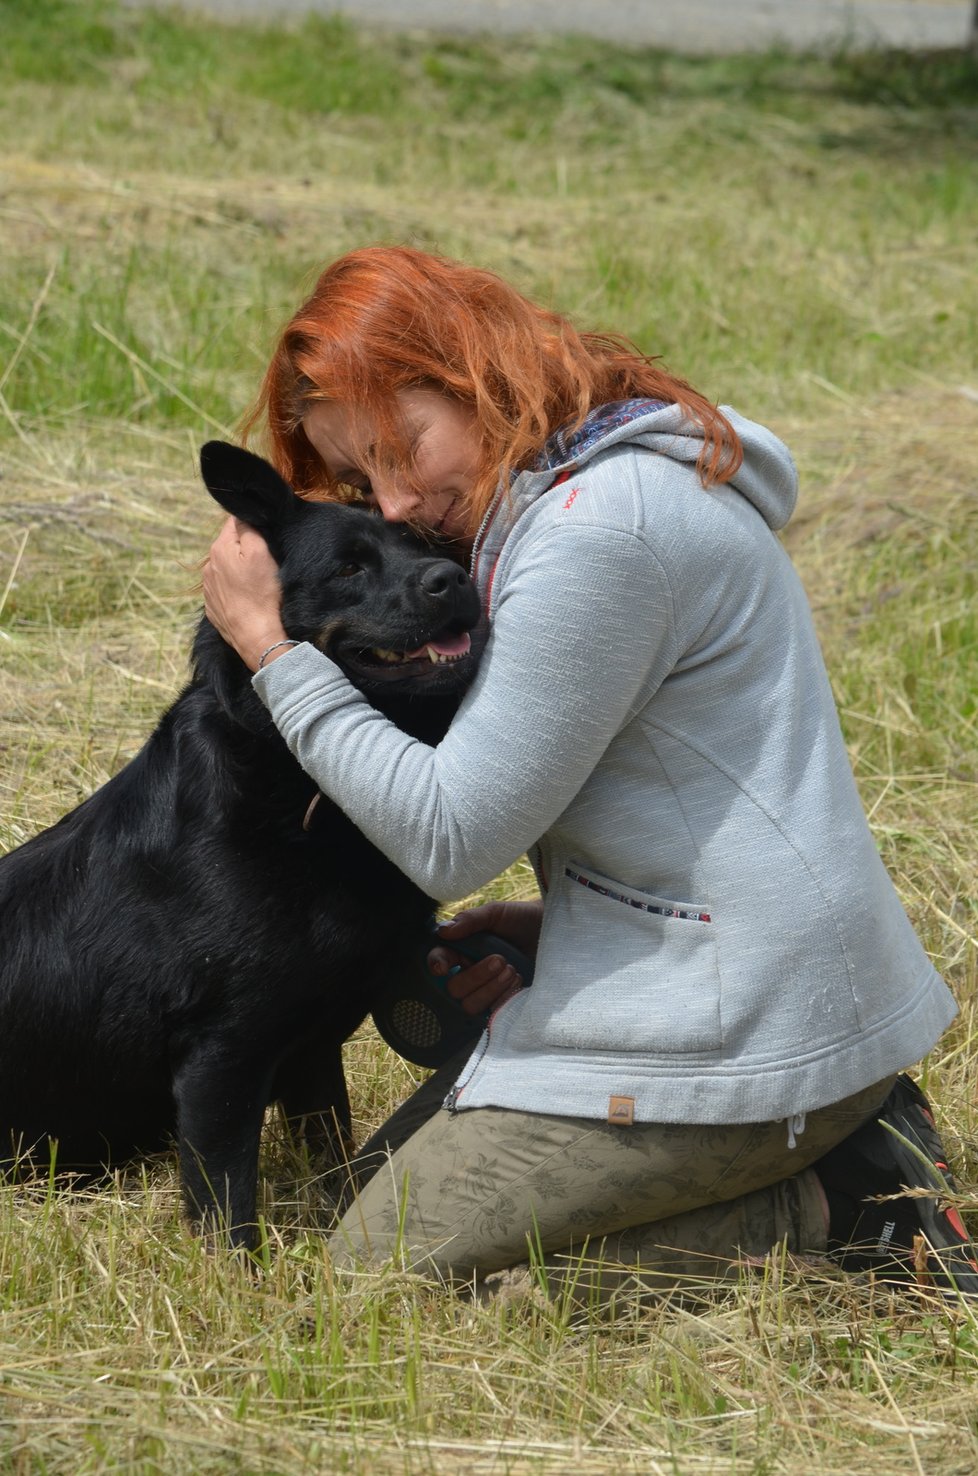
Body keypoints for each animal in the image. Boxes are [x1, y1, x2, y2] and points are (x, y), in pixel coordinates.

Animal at [0, 442, 480, 1251]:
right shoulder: (221, 1057)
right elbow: (226, 1212)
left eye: (425, 547)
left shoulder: (311, 1046)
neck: (300, 785)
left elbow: (333, 1162)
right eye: (348, 567)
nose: (455, 579)